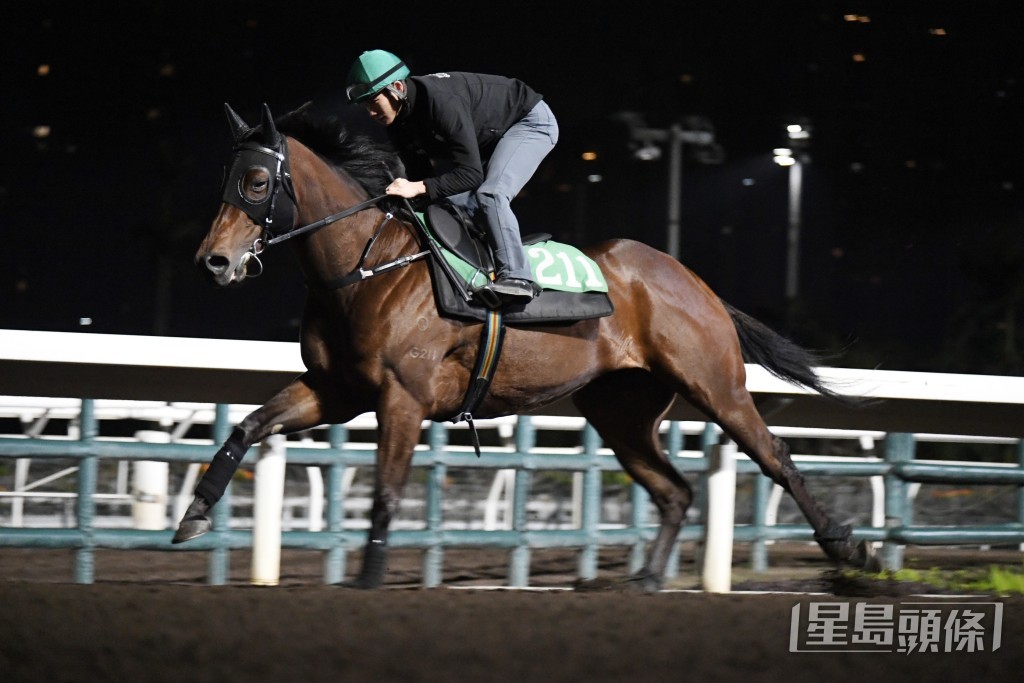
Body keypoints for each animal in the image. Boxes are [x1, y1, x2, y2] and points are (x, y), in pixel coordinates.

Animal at [172, 104, 876, 589]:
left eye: (257, 182)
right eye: (224, 177)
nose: (213, 262)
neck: (367, 269)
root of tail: (692, 281)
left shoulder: (402, 397)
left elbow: (387, 491)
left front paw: (367, 580)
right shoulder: (336, 390)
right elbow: (249, 426)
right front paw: (194, 515)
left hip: (715, 384)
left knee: (776, 457)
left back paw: (848, 547)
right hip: (620, 411)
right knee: (674, 491)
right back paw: (647, 579)